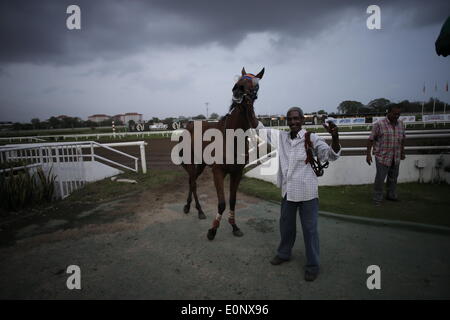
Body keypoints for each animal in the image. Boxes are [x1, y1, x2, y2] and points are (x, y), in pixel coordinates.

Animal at [179, 66, 264, 240]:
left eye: (256, 84)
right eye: (239, 79)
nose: (237, 90)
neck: (232, 137)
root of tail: (189, 125)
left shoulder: (237, 172)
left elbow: (232, 200)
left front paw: (234, 226)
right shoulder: (218, 171)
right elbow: (222, 203)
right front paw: (212, 230)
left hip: (201, 164)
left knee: (191, 181)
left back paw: (188, 206)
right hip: (191, 162)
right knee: (193, 183)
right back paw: (199, 210)